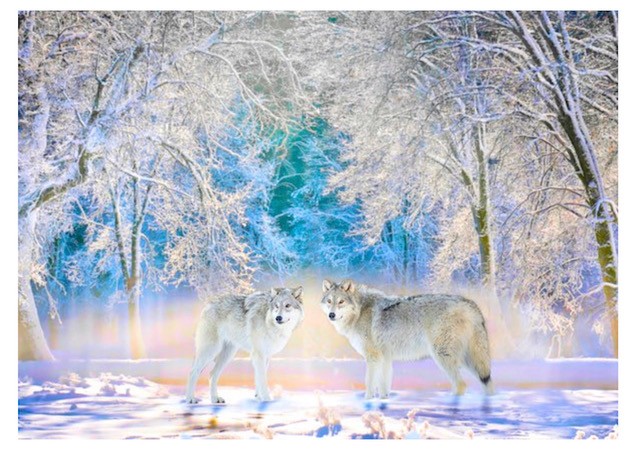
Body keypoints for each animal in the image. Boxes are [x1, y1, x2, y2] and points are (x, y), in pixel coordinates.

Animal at [320, 279, 494, 398]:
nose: (331, 315)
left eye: (341, 302)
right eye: (329, 301)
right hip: (468, 359)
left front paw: (367, 401)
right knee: (485, 381)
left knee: (461, 385)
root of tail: (471, 304)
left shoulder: (373, 357)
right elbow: (384, 386)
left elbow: (369, 384)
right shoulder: (385, 358)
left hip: (444, 356)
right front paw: (383, 401)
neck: (360, 311)